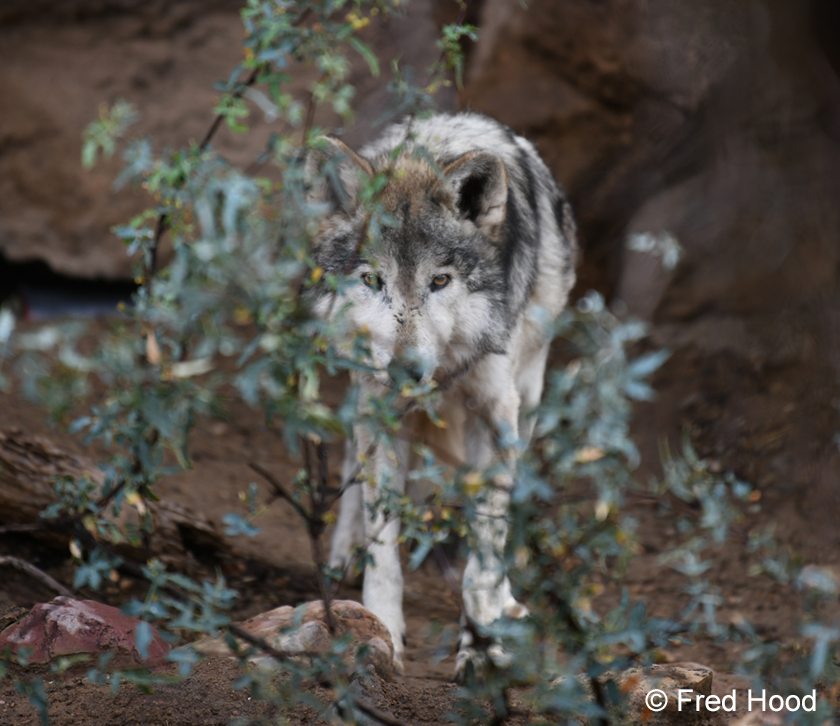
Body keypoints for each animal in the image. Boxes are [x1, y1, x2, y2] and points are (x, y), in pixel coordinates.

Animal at [306, 112, 577, 675]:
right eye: (373, 279)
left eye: (440, 281)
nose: (407, 370)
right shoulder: (381, 408)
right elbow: (383, 543)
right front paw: (384, 629)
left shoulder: (495, 413)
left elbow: (484, 551)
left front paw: (482, 640)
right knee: (351, 468)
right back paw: (344, 548)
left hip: (528, 396)